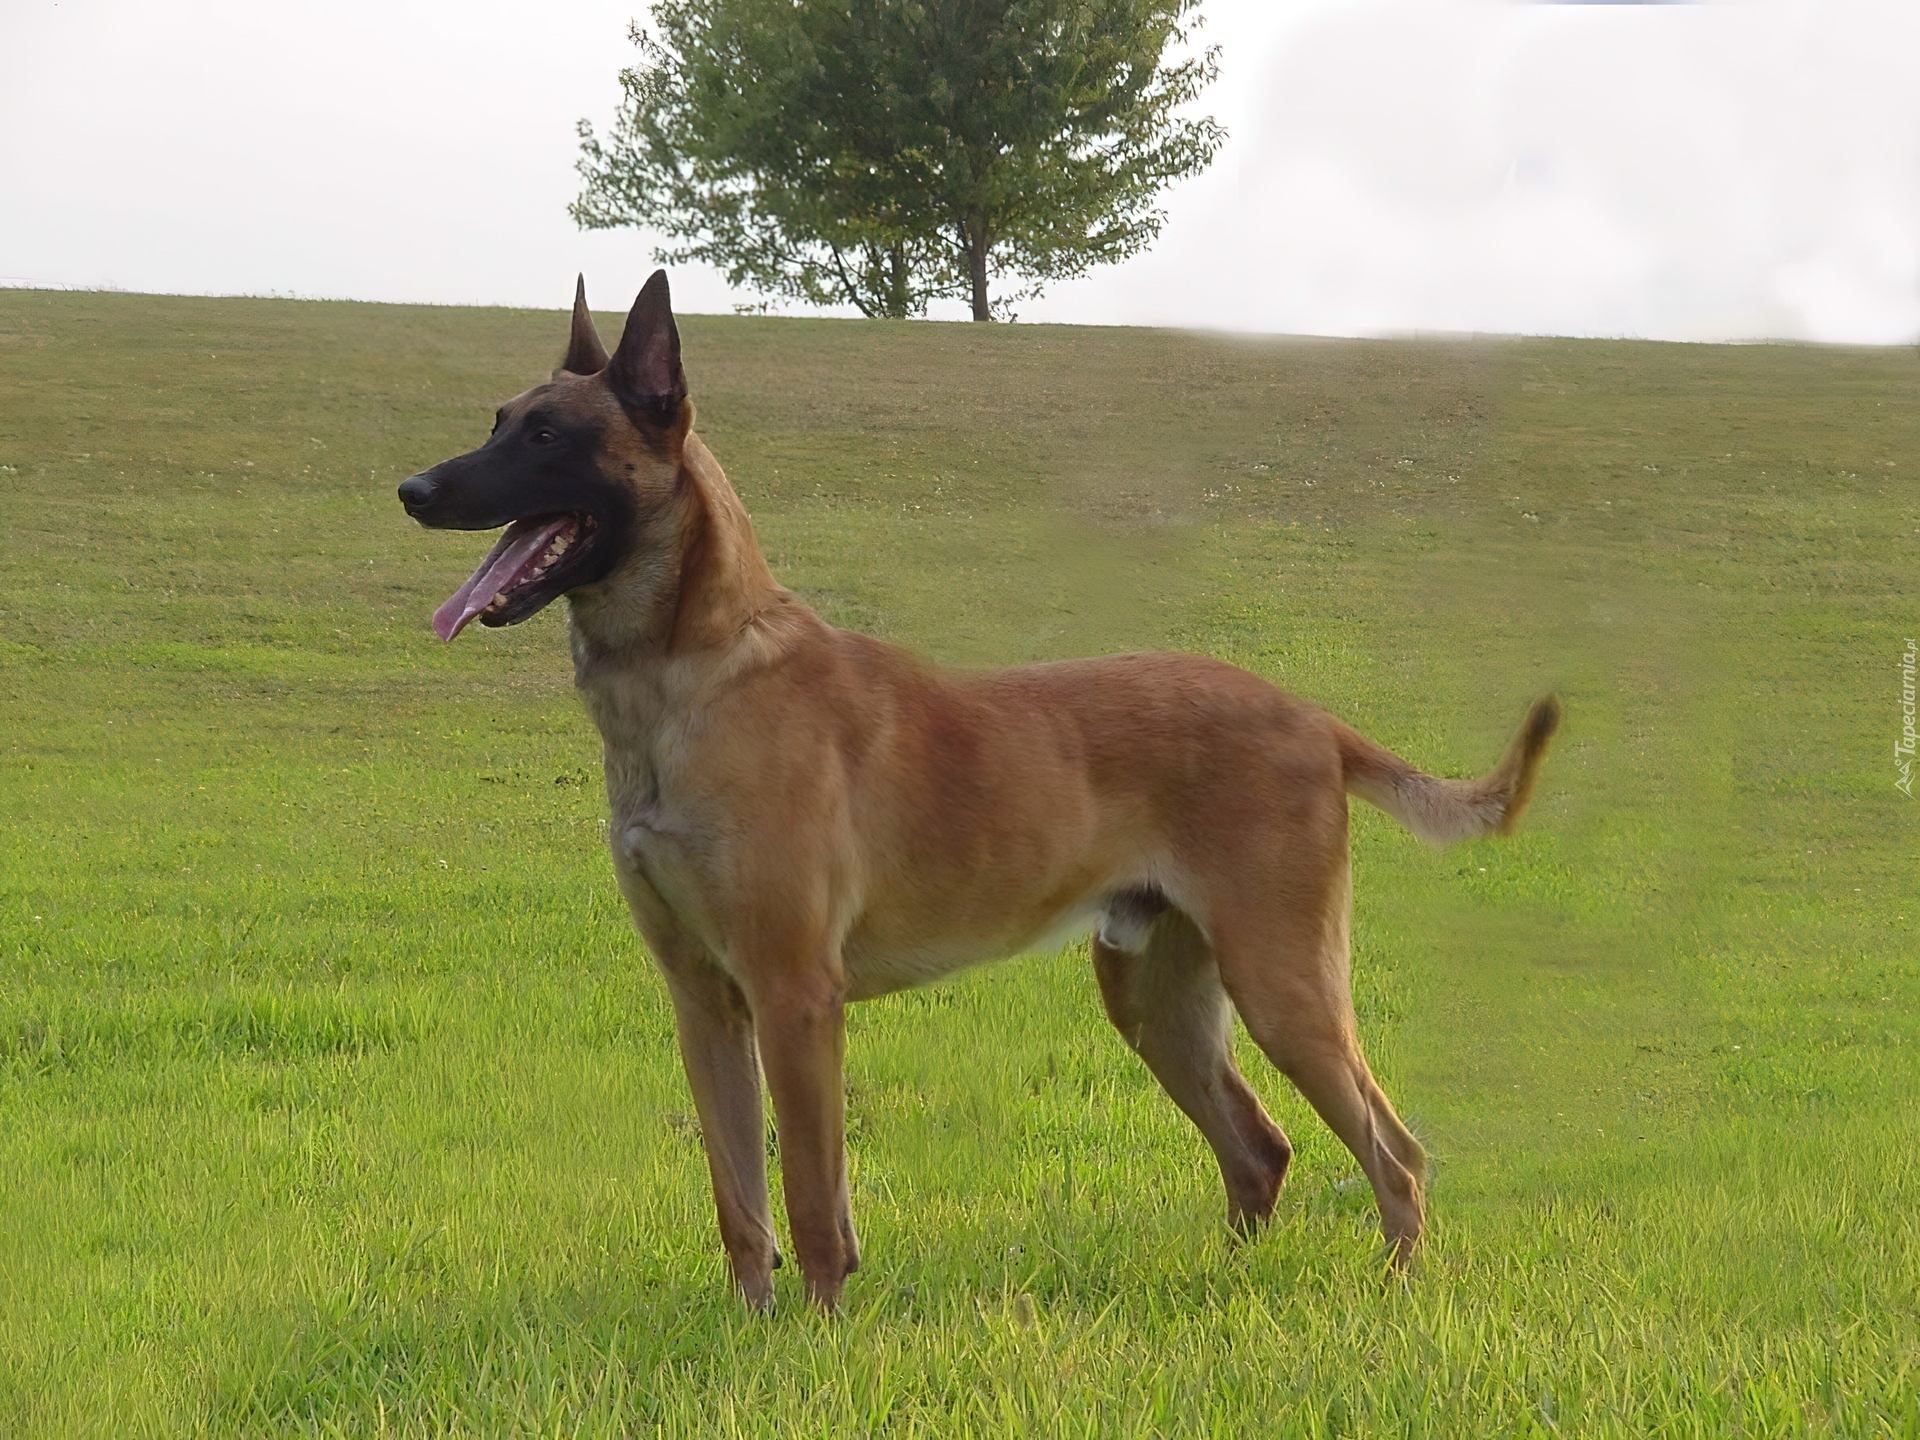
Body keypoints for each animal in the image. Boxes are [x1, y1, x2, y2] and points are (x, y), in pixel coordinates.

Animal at [401, 270, 1559, 1305]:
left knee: (1394, 1154)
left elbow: (811, 1200)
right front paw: (753, 1326)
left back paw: (1392, 1291)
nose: (413, 491)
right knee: (1260, 1149)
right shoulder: (703, 998)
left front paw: (815, 1339)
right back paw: (1222, 1287)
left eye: (547, 438)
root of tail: (1312, 715)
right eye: (499, 421)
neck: (698, 672)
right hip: (1156, 996)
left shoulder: (794, 994)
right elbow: (740, 1203)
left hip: (1283, 984)